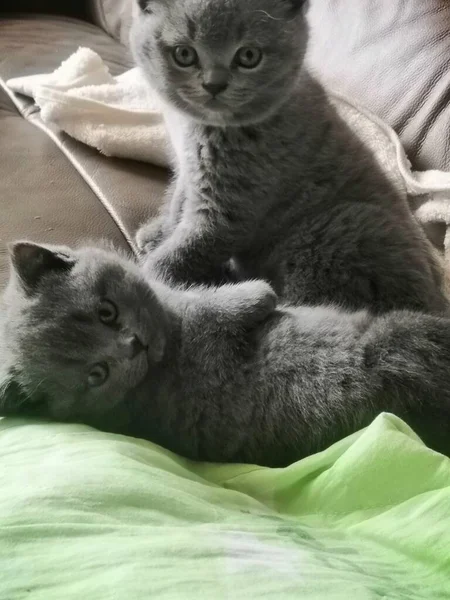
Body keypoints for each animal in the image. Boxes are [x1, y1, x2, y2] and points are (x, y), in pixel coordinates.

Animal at [0, 241, 450, 466]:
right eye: (98, 374)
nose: (133, 346)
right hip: (407, 331)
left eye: (106, 312)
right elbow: (219, 309)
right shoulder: (205, 329)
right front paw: (260, 295)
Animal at [131, 0, 450, 316]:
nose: (214, 84)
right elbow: (177, 202)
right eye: (184, 54)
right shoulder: (189, 170)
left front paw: (152, 275)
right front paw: (157, 233)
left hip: (328, 236)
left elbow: (186, 247)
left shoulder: (228, 209)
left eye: (249, 56)